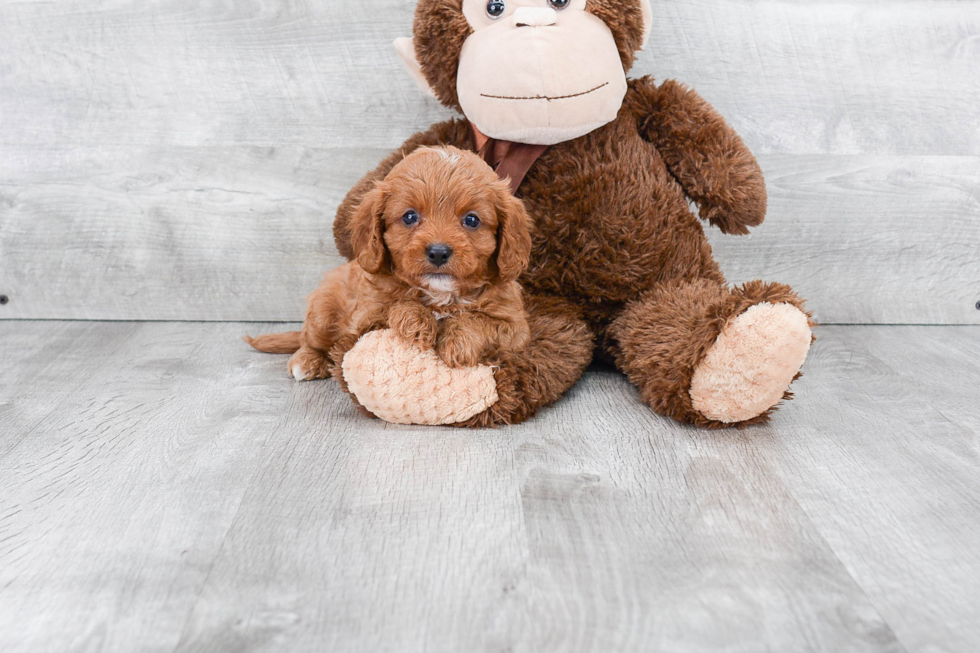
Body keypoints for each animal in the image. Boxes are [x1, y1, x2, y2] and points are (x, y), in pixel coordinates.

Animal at [249, 146, 532, 382]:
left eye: (472, 220)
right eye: (409, 217)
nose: (438, 252)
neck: (439, 295)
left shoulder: (515, 327)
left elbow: (479, 320)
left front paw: (457, 342)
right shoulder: (362, 320)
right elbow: (395, 304)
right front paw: (418, 322)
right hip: (322, 311)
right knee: (309, 339)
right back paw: (306, 361)